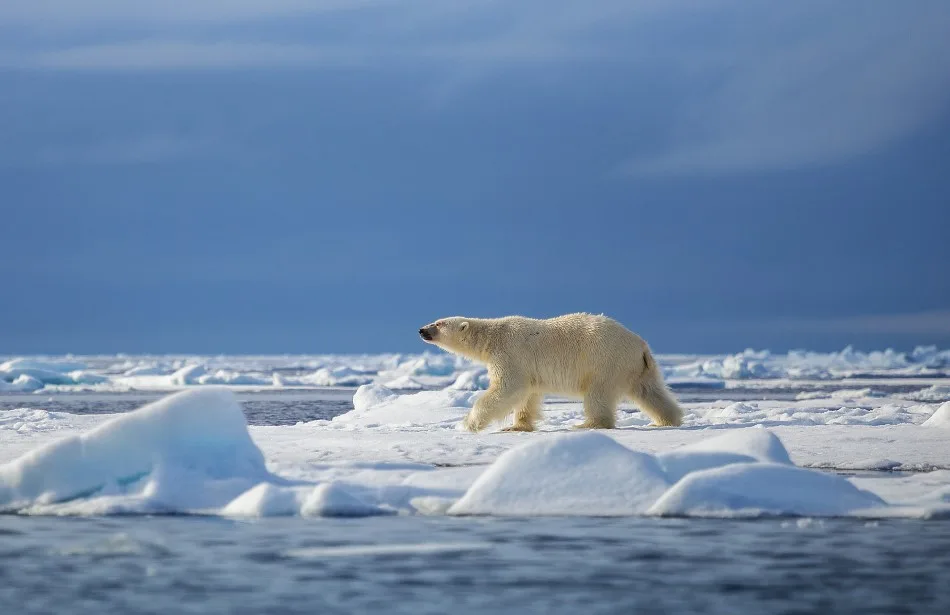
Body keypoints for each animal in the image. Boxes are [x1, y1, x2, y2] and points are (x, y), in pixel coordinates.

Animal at [418, 312, 684, 434]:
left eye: (439, 323)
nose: (421, 329)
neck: (493, 337)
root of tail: (641, 346)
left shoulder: (510, 353)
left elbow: (506, 388)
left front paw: (468, 423)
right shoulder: (527, 368)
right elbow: (527, 395)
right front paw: (517, 427)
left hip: (605, 361)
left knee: (598, 394)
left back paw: (588, 424)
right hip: (638, 368)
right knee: (650, 392)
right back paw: (666, 420)